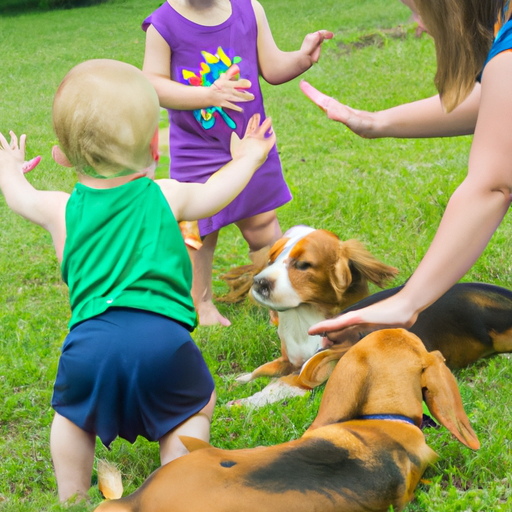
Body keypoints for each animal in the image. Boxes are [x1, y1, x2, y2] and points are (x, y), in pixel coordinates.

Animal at [232, 226, 396, 406]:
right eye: (270, 261)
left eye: (303, 264)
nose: (258, 282)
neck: (303, 319)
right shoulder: (289, 359)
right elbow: (260, 369)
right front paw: (240, 379)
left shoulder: (316, 367)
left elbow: (281, 384)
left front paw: (245, 402)